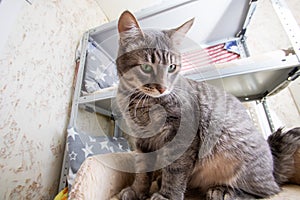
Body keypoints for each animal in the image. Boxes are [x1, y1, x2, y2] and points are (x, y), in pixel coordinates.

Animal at [114, 10, 300, 200]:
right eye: (146, 67)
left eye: (172, 67)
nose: (163, 87)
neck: (140, 102)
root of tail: (273, 168)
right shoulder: (141, 141)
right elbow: (142, 170)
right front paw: (137, 191)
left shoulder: (182, 135)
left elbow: (175, 171)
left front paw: (166, 196)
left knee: (266, 191)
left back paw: (224, 190)